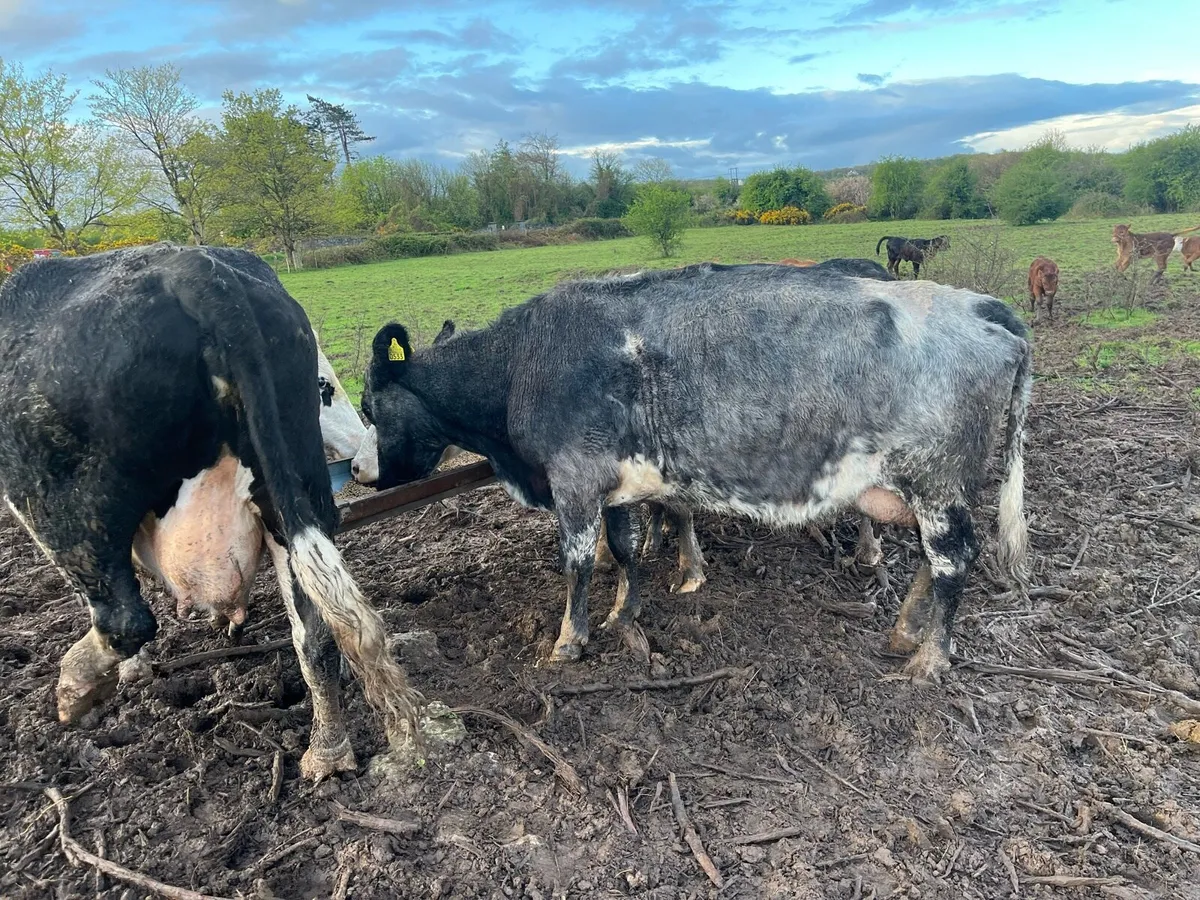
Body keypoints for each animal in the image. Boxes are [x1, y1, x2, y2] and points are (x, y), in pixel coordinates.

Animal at [0, 243, 420, 780]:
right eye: (325, 387)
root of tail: (194, 267)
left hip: (63, 508)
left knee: (124, 618)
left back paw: (76, 689)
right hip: (291, 496)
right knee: (317, 635)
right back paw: (328, 751)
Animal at [363, 261, 1031, 682]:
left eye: (369, 406)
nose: (371, 477)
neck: (519, 363)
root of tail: (977, 304)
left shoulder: (574, 482)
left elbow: (578, 564)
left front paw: (568, 640)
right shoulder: (614, 484)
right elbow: (624, 550)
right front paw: (624, 613)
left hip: (937, 481)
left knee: (953, 559)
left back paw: (930, 660)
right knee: (930, 559)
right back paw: (905, 631)